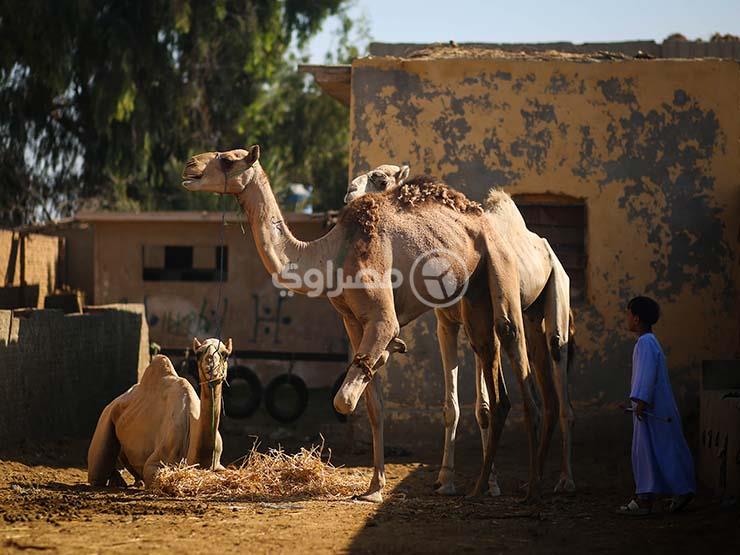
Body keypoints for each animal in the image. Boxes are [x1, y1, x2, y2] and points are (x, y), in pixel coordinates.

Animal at [87, 336, 231, 488]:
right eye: (198, 353)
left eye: (225, 354)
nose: (211, 366)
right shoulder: (156, 461)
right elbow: (152, 472)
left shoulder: (218, 464)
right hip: (105, 417)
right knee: (97, 474)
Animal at [180, 146, 548, 502]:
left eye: (229, 160)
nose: (189, 166)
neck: (330, 255)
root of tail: (485, 220)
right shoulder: (352, 321)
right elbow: (373, 405)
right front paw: (374, 487)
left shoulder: (382, 319)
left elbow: (343, 399)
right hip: (473, 298)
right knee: (493, 377)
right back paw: (482, 485)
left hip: (500, 270)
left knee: (513, 347)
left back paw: (528, 488)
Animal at [348, 165, 580, 496]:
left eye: (380, 180)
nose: (349, 194)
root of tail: (549, 253)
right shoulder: (446, 323)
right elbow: (452, 407)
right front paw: (446, 480)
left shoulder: (481, 321)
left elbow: (484, 407)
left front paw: (491, 482)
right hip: (532, 314)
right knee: (543, 379)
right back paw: (534, 478)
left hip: (558, 287)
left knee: (560, 371)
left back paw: (565, 480)